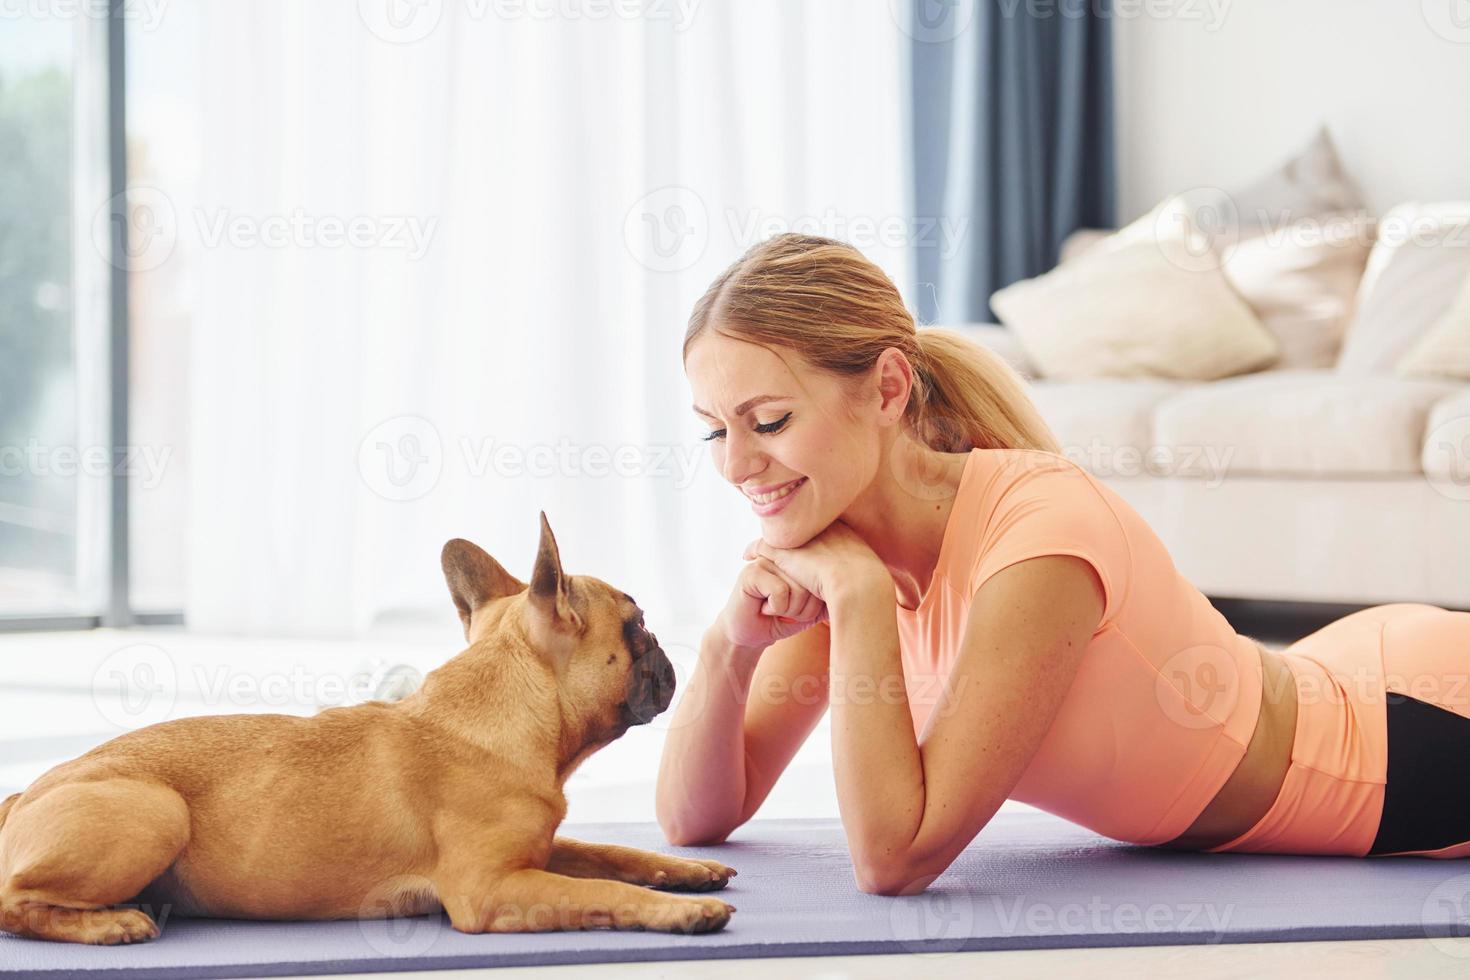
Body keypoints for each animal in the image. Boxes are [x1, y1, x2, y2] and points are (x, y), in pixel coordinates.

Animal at [0, 517, 735, 946]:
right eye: (637, 626)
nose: (666, 651)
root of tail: (21, 798)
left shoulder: (534, 854)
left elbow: (608, 854)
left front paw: (685, 871)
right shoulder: (491, 888)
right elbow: (602, 890)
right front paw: (675, 911)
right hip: (155, 812)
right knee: (13, 902)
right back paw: (111, 922)